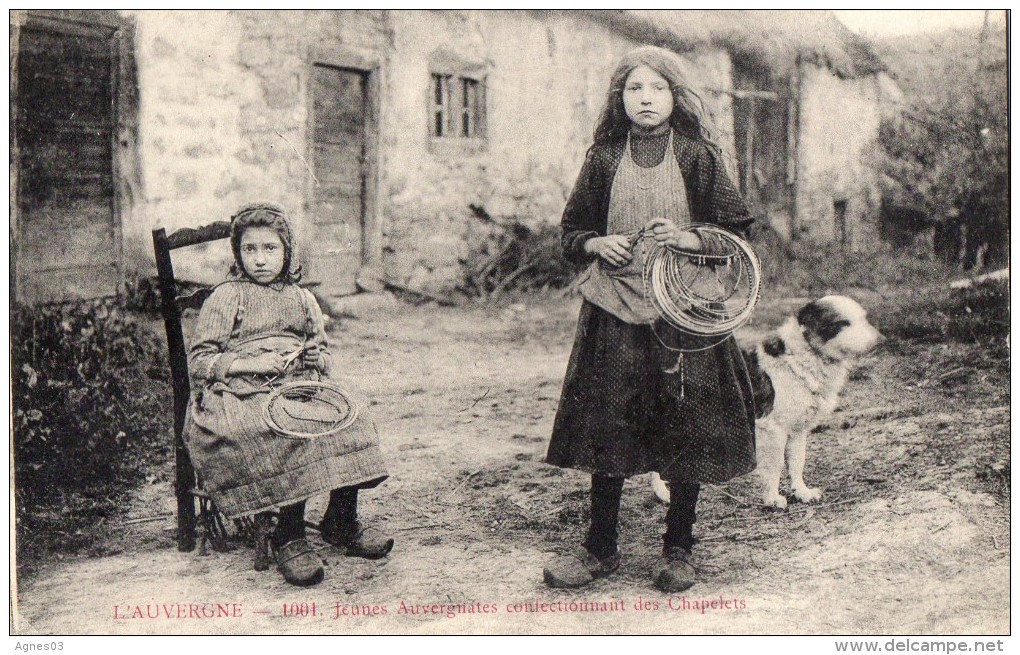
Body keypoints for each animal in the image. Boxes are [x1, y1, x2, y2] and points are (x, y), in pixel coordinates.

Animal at [652, 293, 885, 508]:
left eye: (864, 318)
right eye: (843, 323)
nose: (881, 340)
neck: (799, 359)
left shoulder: (797, 430)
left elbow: (797, 462)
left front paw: (802, 492)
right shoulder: (774, 429)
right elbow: (776, 466)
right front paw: (772, 498)